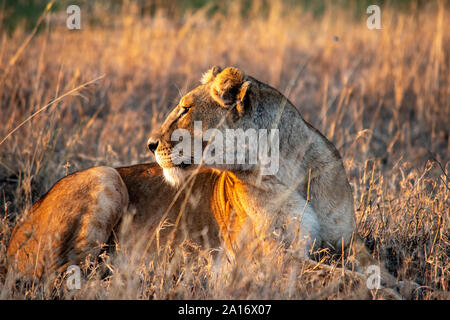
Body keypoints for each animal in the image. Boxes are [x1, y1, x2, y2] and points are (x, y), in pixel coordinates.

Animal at [6, 66, 386, 286]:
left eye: (185, 109)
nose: (149, 144)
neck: (289, 168)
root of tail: (12, 239)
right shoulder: (267, 258)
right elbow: (343, 278)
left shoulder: (347, 242)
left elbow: (375, 268)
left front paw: (397, 285)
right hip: (105, 176)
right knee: (65, 275)